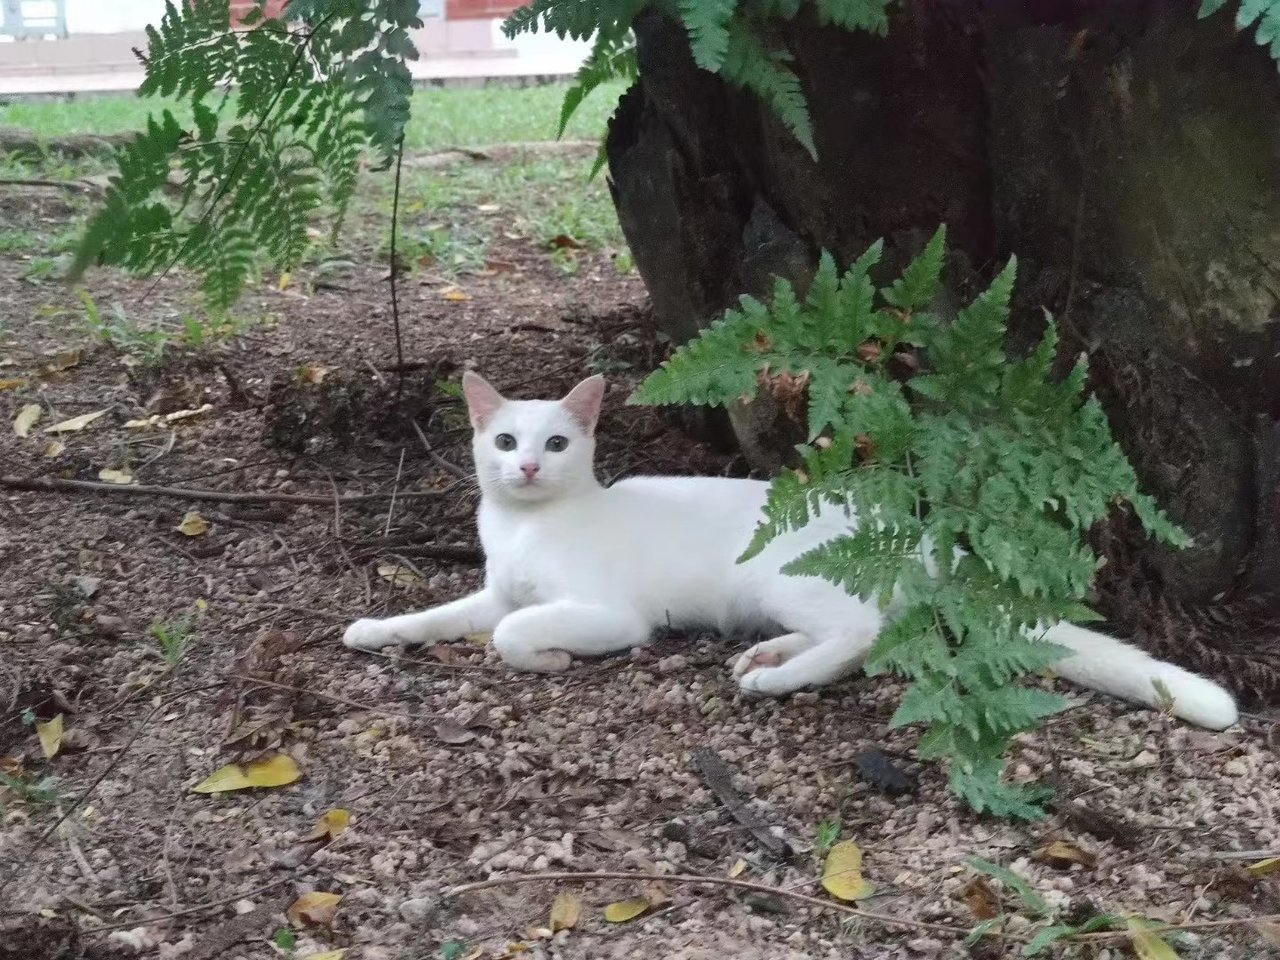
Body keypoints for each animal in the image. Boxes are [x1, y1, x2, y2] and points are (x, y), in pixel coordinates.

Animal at [343, 373, 1239, 727]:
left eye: (557, 443)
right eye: (504, 441)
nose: (526, 466)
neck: (529, 524)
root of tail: (919, 539)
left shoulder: (610, 616)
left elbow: (508, 634)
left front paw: (549, 659)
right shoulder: (496, 589)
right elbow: (445, 615)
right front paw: (375, 630)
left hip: (783, 575)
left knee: (864, 638)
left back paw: (776, 678)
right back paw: (767, 655)